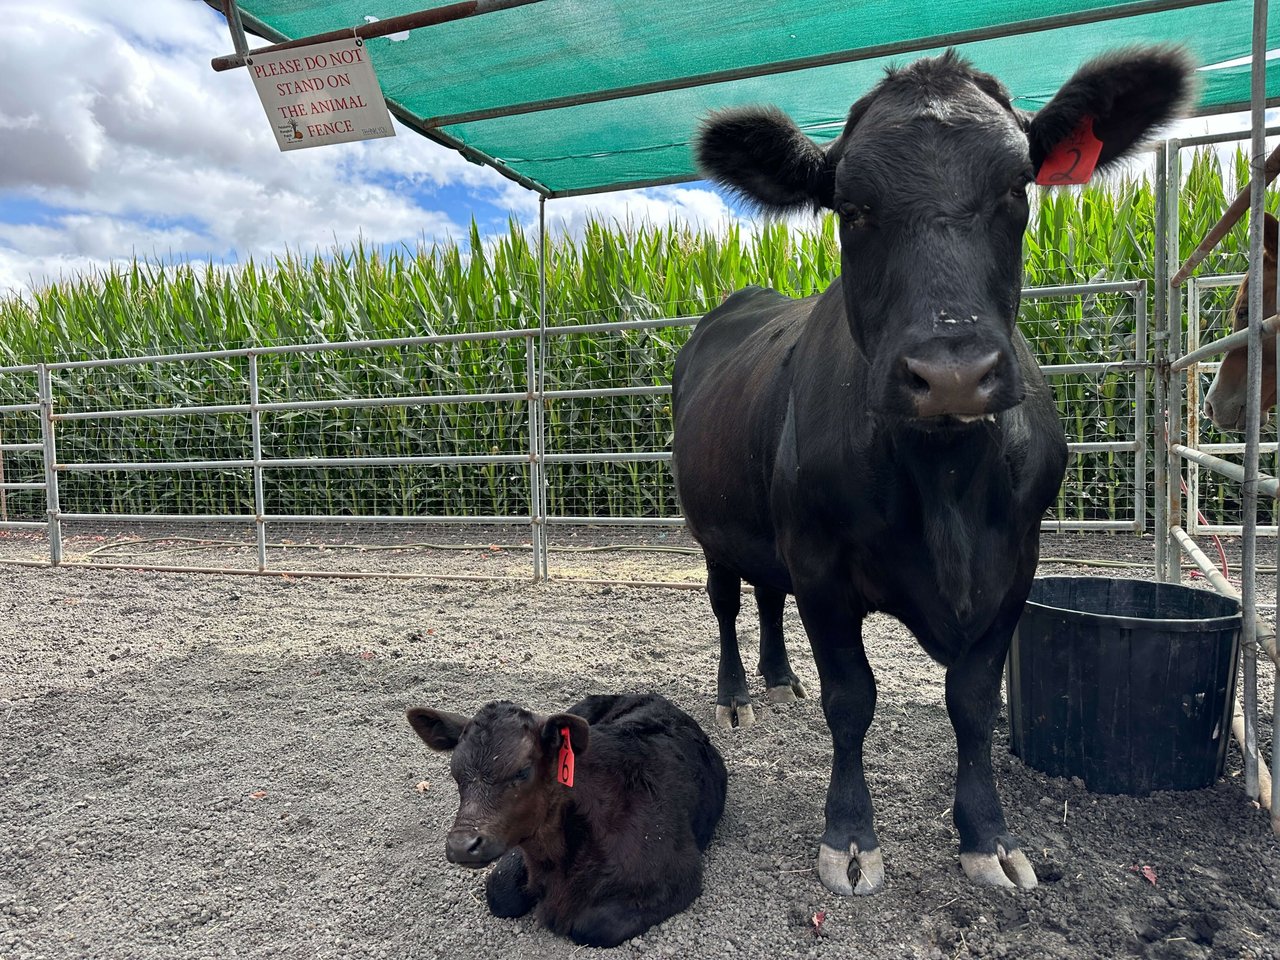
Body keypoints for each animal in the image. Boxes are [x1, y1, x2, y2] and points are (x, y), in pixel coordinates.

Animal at [409, 696, 732, 952]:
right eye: (455, 772)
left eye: (523, 771)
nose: (462, 845)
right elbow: (499, 890)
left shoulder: (680, 875)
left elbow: (591, 925)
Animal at [675, 48, 1192, 901]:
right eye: (851, 207)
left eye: (1016, 188)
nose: (952, 373)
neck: (945, 479)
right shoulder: (820, 564)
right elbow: (852, 699)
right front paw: (850, 837)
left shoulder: (1017, 564)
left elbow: (975, 702)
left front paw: (989, 837)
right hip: (710, 527)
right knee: (727, 603)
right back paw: (740, 696)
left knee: (767, 596)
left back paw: (780, 681)